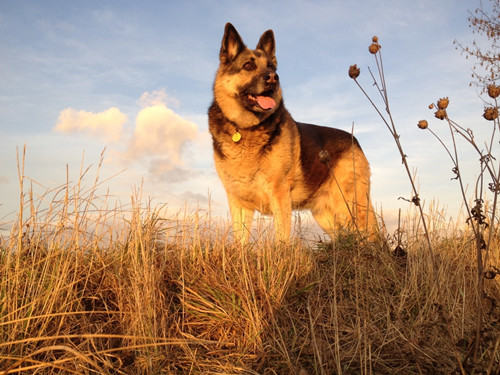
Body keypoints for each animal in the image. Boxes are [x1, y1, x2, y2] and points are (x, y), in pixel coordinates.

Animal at [209, 22, 376, 244]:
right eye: (248, 66)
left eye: (271, 68)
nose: (273, 78)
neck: (245, 129)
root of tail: (354, 139)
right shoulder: (238, 203)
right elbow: (241, 242)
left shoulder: (280, 196)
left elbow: (281, 238)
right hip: (327, 216)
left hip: (352, 207)